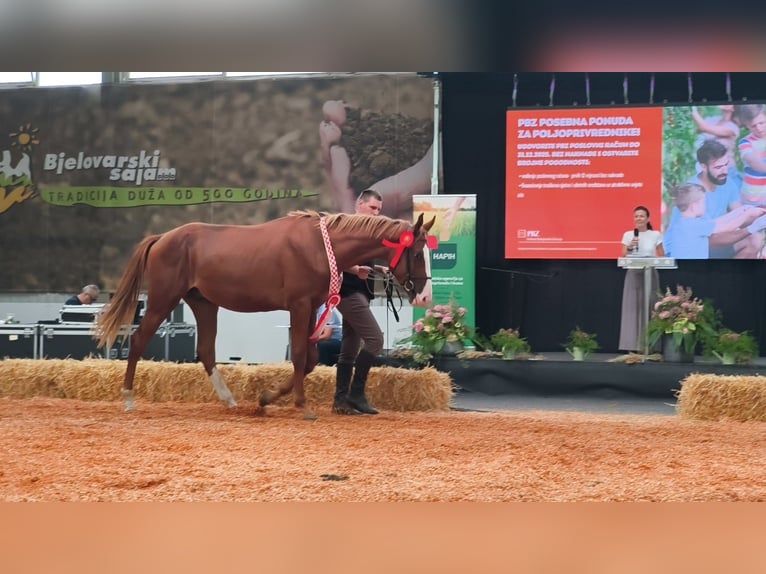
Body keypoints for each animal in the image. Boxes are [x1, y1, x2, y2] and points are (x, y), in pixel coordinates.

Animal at [95, 210, 435, 419]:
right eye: (418, 254)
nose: (424, 295)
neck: (320, 246)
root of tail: (162, 238)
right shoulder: (300, 306)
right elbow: (299, 356)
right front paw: (302, 407)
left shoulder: (311, 308)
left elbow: (309, 360)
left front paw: (266, 398)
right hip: (163, 299)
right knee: (139, 340)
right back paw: (128, 398)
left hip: (204, 303)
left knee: (205, 351)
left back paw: (230, 400)